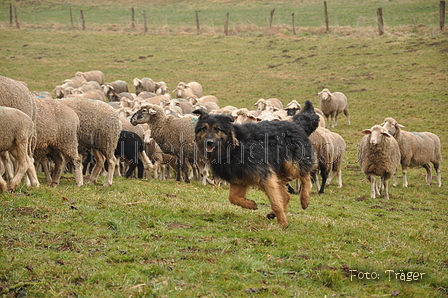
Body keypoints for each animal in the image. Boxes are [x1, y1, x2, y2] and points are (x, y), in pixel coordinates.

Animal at [192, 100, 318, 228]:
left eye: (217, 129)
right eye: (203, 128)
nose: (209, 142)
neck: (234, 146)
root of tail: (296, 124)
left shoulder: (264, 176)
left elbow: (275, 202)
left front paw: (283, 223)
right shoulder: (239, 177)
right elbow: (233, 198)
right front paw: (250, 204)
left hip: (292, 164)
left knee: (305, 176)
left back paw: (304, 199)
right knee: (286, 196)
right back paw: (273, 213)